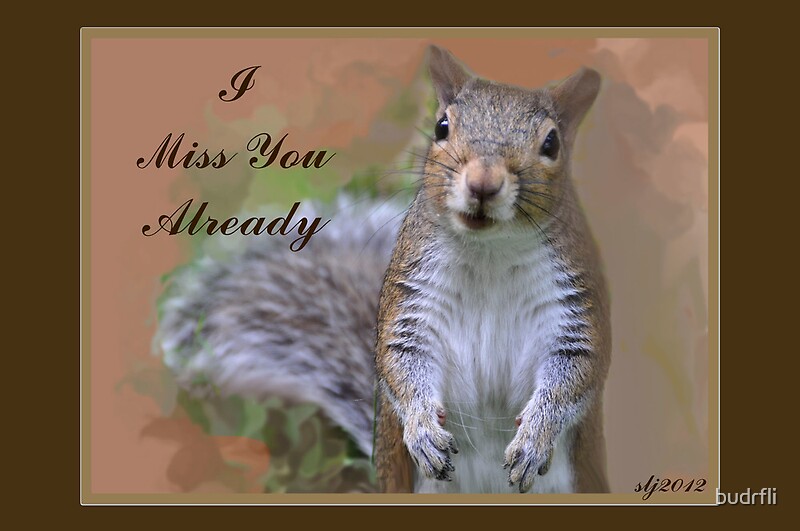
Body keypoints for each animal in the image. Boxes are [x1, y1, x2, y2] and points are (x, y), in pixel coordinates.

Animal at [157, 45, 610, 494]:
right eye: (441, 127)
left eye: (551, 143)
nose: (483, 183)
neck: (490, 251)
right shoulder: (412, 300)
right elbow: (401, 361)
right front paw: (423, 429)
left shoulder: (572, 307)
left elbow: (574, 373)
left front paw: (534, 437)